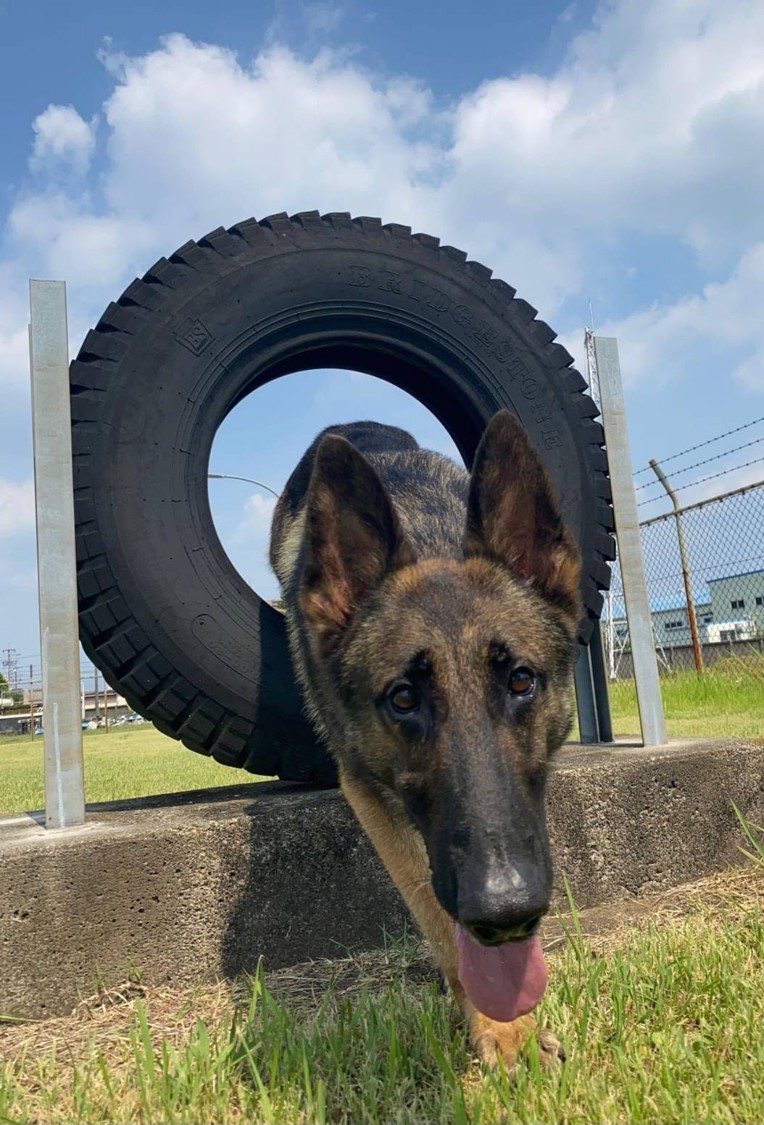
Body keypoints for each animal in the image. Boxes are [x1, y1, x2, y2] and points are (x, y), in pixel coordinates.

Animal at [268, 409, 580, 1066]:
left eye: (520, 680)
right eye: (404, 699)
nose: (508, 910)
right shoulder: (367, 790)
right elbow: (435, 911)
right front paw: (503, 1030)